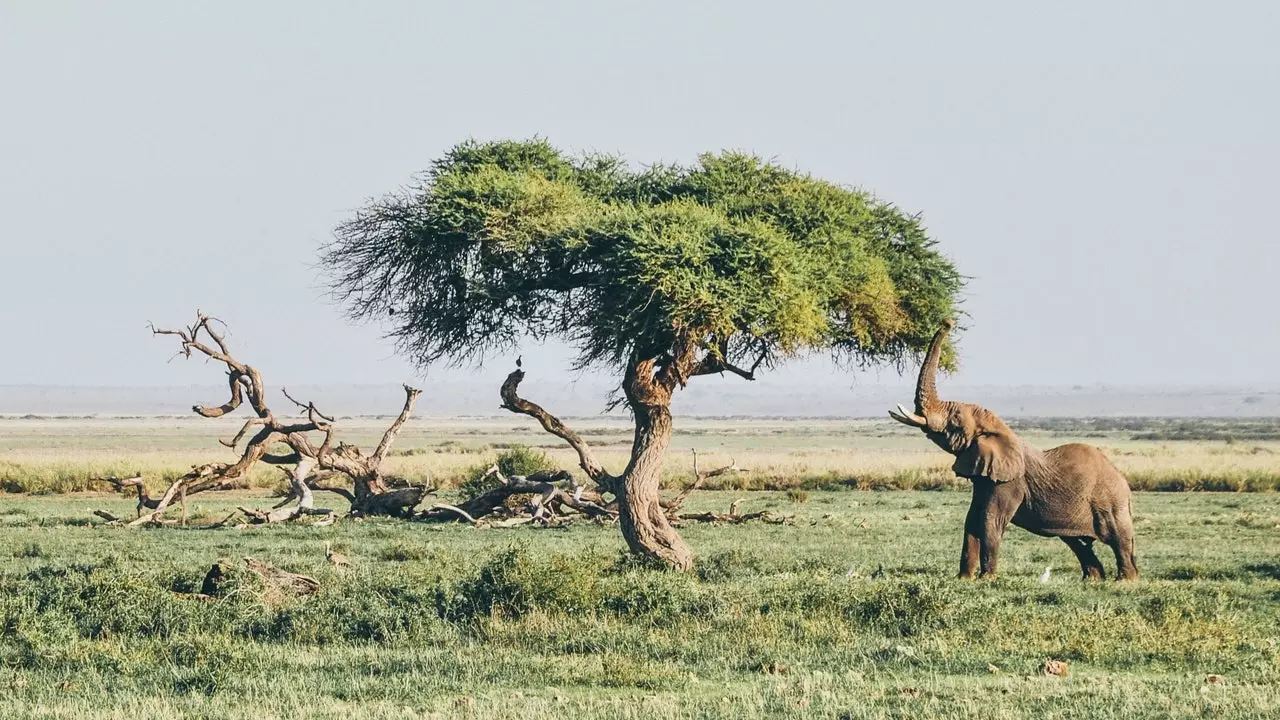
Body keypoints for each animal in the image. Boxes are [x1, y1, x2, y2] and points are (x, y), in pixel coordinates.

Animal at [890, 319, 1141, 576]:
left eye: (955, 421)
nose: (948, 321)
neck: (1001, 430)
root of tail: (1124, 483)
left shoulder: (1009, 482)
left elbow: (990, 521)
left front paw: (986, 579)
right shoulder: (985, 476)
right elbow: (972, 519)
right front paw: (964, 579)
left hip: (1110, 503)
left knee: (1119, 540)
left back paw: (1125, 580)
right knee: (1078, 542)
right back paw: (1092, 580)